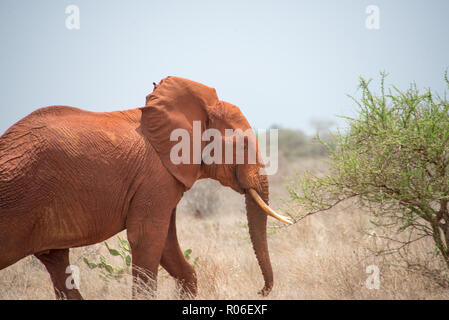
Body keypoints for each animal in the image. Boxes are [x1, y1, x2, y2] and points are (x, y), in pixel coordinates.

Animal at [0, 77, 290, 300]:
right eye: (243, 145)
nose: (260, 291)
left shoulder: (163, 179)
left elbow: (169, 248)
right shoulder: (155, 176)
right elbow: (147, 237)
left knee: (57, 262)